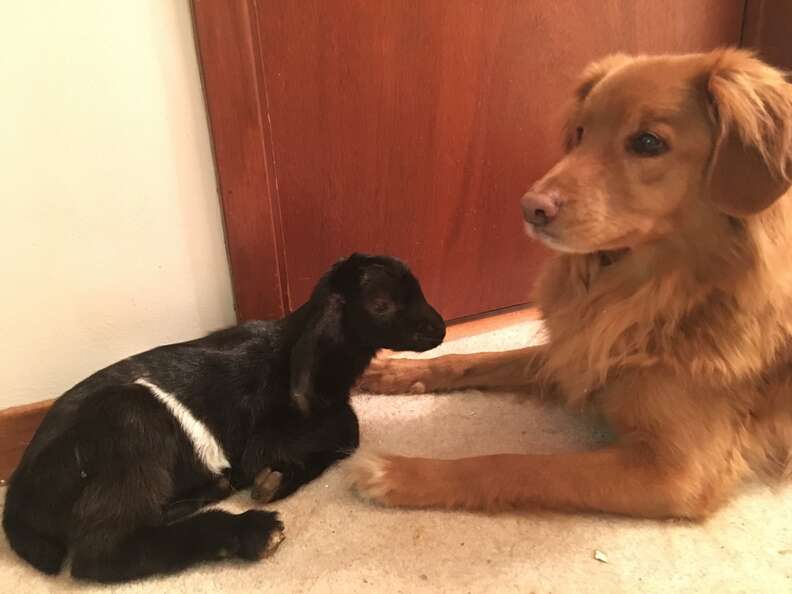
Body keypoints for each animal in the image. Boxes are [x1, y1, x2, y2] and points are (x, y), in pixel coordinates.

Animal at [1, 252, 446, 580]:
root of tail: (19, 500)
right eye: (382, 305)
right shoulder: (271, 435)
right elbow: (347, 431)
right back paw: (252, 531)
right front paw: (274, 478)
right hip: (131, 422)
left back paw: (208, 491)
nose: (439, 328)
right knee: (102, 551)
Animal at [346, 49, 792, 520]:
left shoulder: (676, 474)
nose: (529, 208)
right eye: (580, 133)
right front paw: (394, 371)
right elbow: (476, 358)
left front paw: (402, 474)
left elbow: (515, 465)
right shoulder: (578, 350)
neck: (652, 292)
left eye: (648, 143)